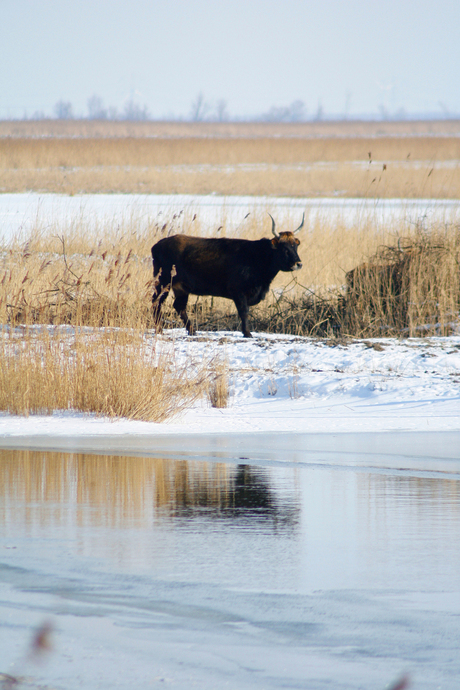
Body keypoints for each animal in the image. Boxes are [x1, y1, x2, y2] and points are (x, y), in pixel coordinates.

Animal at [150, 212, 302, 336]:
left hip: (181, 287)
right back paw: (160, 330)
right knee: (156, 302)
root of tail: (158, 245)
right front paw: (247, 333)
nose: (298, 263)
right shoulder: (238, 291)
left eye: (295, 246)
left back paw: (192, 331)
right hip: (164, 281)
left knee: (179, 307)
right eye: (284, 248)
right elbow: (244, 312)